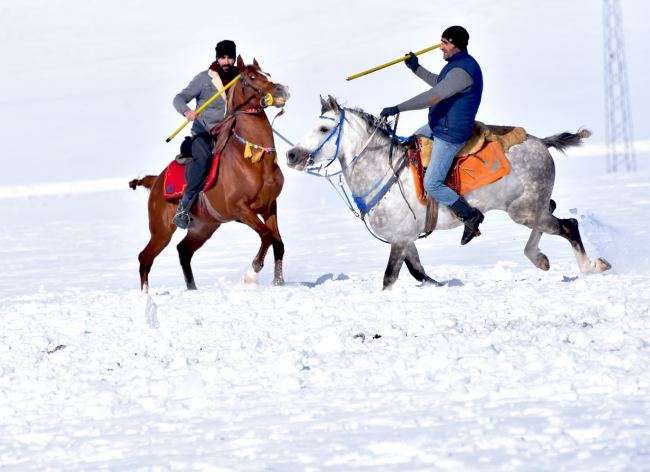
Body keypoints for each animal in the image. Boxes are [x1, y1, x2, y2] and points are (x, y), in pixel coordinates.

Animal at [128, 55, 288, 292]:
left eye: (267, 74)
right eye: (251, 77)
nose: (282, 90)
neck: (253, 160)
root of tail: (156, 180)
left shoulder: (269, 206)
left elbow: (278, 243)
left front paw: (279, 282)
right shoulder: (240, 208)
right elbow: (267, 236)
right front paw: (251, 275)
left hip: (204, 227)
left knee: (183, 250)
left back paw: (192, 289)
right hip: (162, 230)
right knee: (145, 257)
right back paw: (145, 295)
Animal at [284, 96, 608, 290]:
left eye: (324, 128)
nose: (291, 155)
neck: (383, 172)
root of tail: (541, 141)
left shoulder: (399, 239)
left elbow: (390, 277)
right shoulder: (406, 239)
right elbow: (419, 273)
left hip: (525, 211)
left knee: (569, 225)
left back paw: (592, 265)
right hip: (530, 208)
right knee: (551, 211)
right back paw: (538, 258)